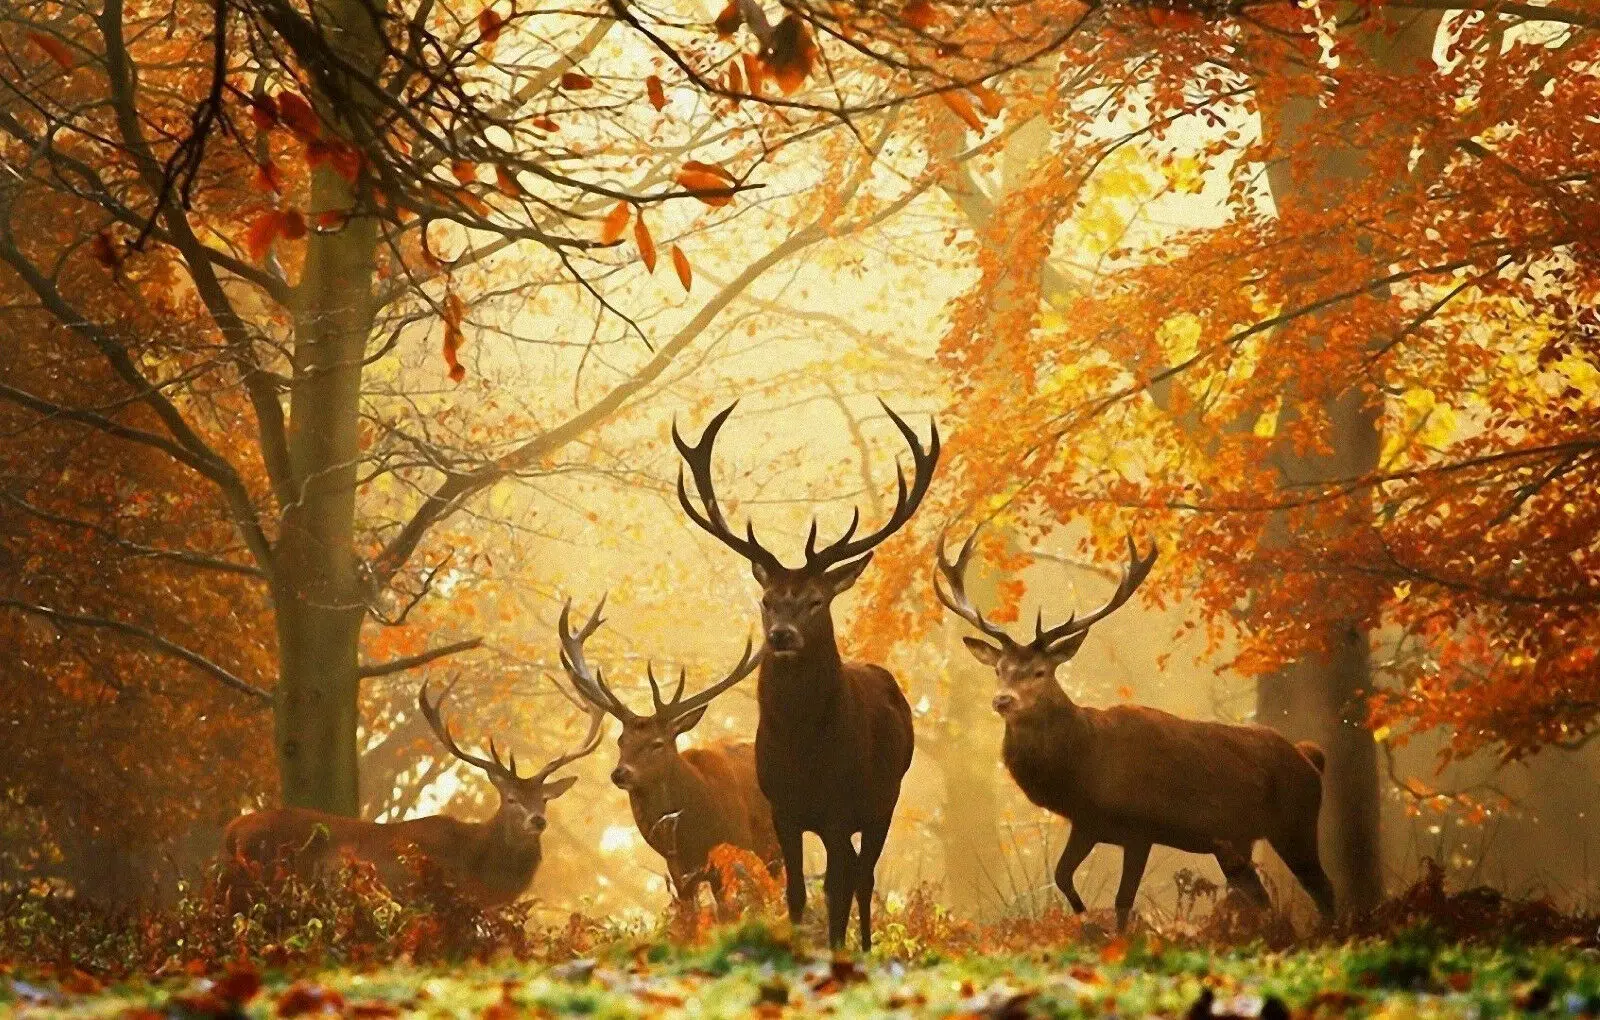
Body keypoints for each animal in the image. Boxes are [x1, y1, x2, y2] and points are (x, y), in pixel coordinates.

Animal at [673, 400, 939, 951]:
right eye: (767, 599)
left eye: (817, 600)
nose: (781, 635)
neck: (803, 749)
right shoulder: (783, 809)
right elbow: (796, 891)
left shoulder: (840, 806)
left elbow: (837, 888)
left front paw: (836, 951)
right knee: (855, 873)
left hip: (884, 798)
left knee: (863, 876)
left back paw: (864, 946)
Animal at [934, 525, 1336, 930]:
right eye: (998, 669)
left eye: (1040, 671)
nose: (1003, 700)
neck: (1084, 769)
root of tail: (1310, 758)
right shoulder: (1087, 823)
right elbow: (1062, 876)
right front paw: (1085, 921)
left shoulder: (1140, 828)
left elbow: (1123, 901)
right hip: (1235, 842)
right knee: (1261, 896)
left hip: (1296, 822)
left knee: (1323, 889)